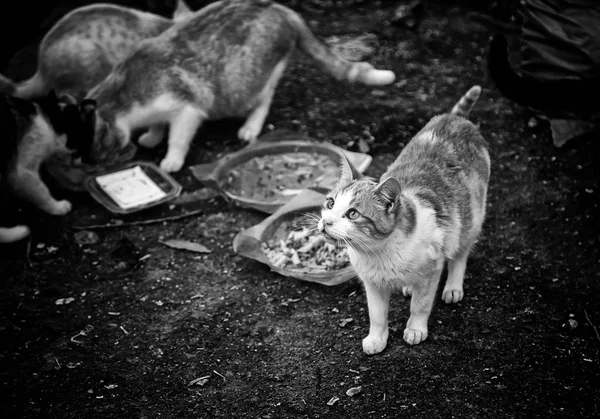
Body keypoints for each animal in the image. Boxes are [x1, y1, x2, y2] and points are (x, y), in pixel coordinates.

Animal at [81, 0, 398, 172]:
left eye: (98, 153)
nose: (96, 165)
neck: (125, 92)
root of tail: (281, 7)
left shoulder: (188, 108)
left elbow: (178, 138)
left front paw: (171, 159)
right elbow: (159, 126)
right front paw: (151, 137)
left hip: (251, 80)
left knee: (263, 100)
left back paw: (250, 127)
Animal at [316, 85, 490, 354]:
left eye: (353, 214)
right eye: (331, 203)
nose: (327, 222)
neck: (379, 252)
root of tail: (454, 118)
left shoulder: (432, 269)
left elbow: (421, 304)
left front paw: (416, 329)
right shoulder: (372, 284)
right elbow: (377, 315)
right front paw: (377, 339)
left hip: (470, 221)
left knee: (460, 256)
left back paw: (452, 287)